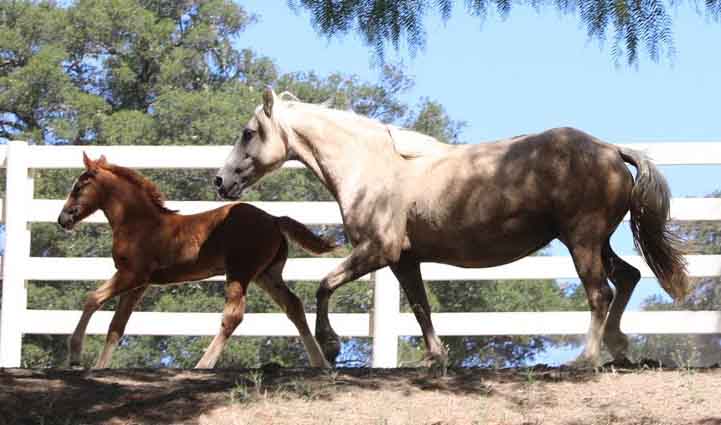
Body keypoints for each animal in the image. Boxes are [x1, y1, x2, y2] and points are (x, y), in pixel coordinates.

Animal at [58, 152, 332, 368]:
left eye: (78, 187)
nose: (63, 219)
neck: (137, 223)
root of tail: (274, 219)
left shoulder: (131, 274)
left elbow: (92, 299)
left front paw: (75, 355)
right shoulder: (139, 284)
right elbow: (116, 326)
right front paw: (100, 367)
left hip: (240, 272)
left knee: (233, 316)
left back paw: (203, 365)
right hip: (266, 274)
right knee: (293, 306)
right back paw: (321, 363)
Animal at [214, 88, 688, 366]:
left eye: (248, 132)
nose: (221, 181)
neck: (371, 167)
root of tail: (611, 150)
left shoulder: (377, 250)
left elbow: (324, 285)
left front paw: (331, 345)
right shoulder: (403, 260)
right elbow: (420, 306)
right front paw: (435, 357)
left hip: (582, 240)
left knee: (600, 293)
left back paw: (585, 359)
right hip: (595, 241)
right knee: (627, 278)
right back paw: (619, 350)